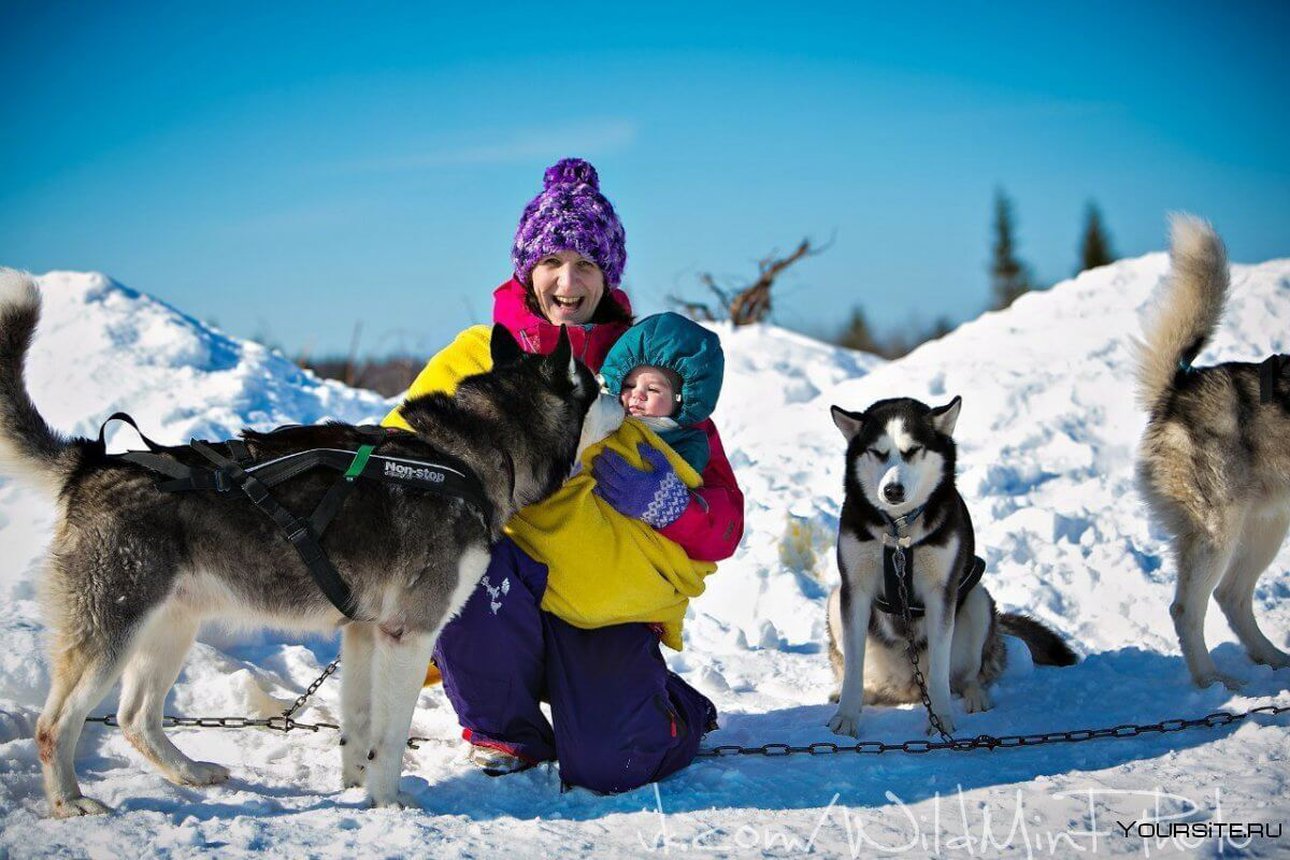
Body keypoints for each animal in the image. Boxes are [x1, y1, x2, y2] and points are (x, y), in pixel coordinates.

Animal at [0, 272, 619, 820]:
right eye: (597, 387)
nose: (626, 396)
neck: (463, 457)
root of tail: (91, 464)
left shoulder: (365, 632)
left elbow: (359, 728)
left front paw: (355, 789)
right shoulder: (409, 633)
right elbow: (391, 736)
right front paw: (389, 802)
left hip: (170, 627)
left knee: (135, 718)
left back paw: (189, 771)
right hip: (113, 631)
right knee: (55, 725)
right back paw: (70, 801)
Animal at [825, 399, 1078, 742]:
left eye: (912, 450)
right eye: (878, 452)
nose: (892, 490)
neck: (899, 533)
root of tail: (908, 687)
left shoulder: (941, 592)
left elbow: (941, 667)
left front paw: (941, 719)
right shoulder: (855, 588)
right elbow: (852, 668)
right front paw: (847, 717)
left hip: (978, 601)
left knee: (969, 675)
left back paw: (975, 696)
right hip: (835, 600)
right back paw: (865, 693)